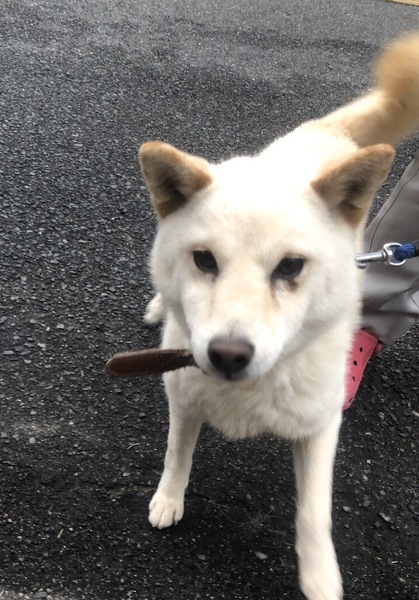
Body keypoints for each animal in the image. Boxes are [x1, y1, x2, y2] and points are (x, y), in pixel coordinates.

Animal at [138, 35, 419, 600]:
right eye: (205, 261)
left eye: (290, 267)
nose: (227, 354)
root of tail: (326, 133)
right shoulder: (183, 394)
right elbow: (178, 454)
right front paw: (169, 499)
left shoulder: (321, 425)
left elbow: (314, 513)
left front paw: (321, 578)